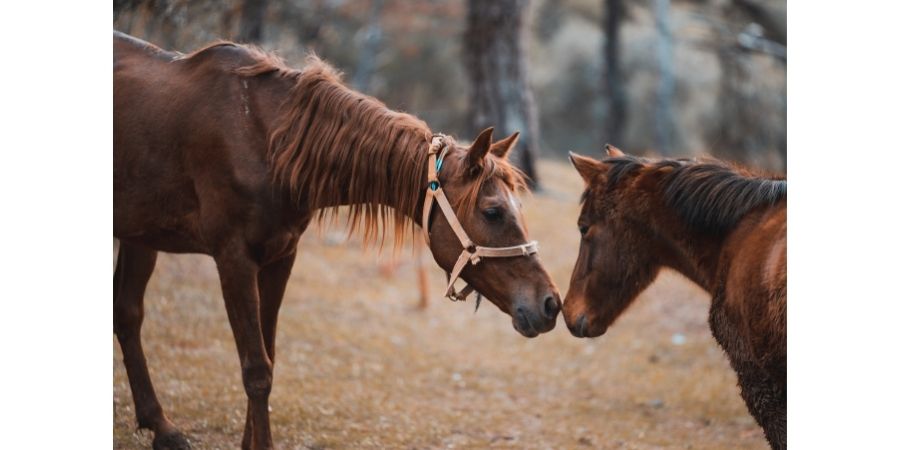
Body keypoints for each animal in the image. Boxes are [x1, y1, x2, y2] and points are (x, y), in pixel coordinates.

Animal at [115, 32, 560, 450]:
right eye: (493, 212)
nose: (550, 303)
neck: (267, 142)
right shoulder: (234, 259)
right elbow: (256, 368)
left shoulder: (280, 257)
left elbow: (267, 355)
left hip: (141, 236)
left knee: (128, 314)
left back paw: (162, 428)